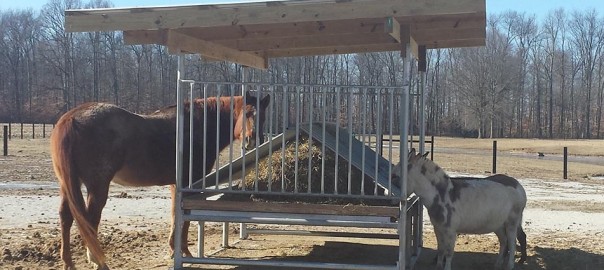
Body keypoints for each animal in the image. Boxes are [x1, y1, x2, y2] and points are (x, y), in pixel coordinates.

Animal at [50, 92, 272, 268]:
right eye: (247, 113)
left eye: (263, 117)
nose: (253, 140)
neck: (196, 128)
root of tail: (70, 119)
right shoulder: (189, 184)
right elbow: (184, 218)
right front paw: (185, 253)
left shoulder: (176, 185)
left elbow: (175, 215)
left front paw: (175, 250)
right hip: (97, 186)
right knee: (89, 220)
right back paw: (98, 261)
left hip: (68, 184)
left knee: (66, 217)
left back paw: (68, 263)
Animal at [394, 149, 528, 268]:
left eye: (395, 177)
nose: (395, 200)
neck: (442, 195)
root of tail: (518, 185)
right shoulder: (438, 228)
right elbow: (440, 249)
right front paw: (438, 266)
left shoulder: (451, 231)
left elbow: (448, 253)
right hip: (498, 224)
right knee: (504, 241)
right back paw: (498, 264)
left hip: (512, 222)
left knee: (512, 243)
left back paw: (510, 265)